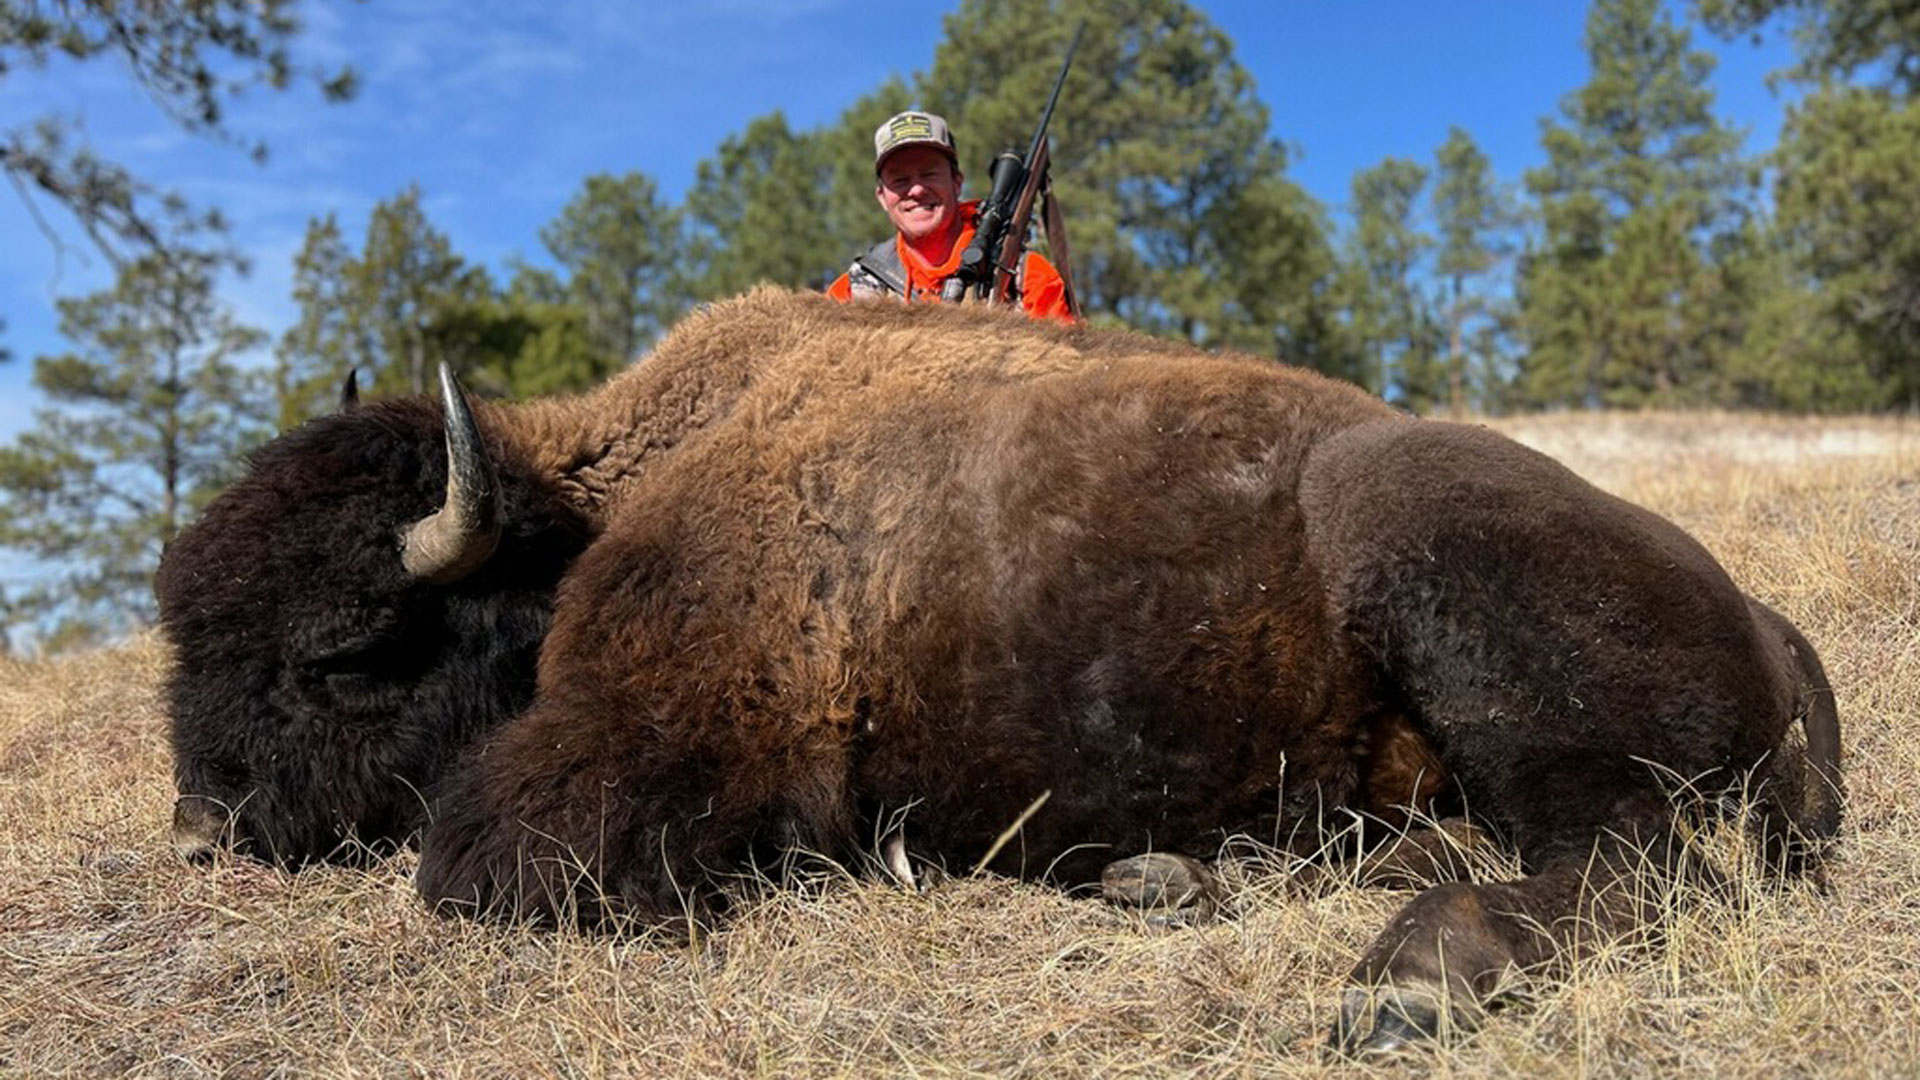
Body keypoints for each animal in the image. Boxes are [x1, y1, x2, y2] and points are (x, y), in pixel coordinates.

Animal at [161, 286, 1843, 1045]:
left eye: (345, 652)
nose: (207, 826)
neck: (595, 505)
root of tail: (1766, 613)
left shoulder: (638, 746)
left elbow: (473, 861)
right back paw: (1181, 880)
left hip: (1443, 572)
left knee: (1645, 862)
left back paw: (1411, 982)